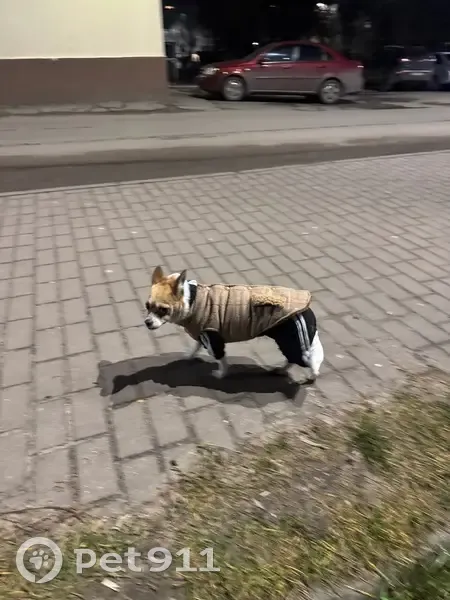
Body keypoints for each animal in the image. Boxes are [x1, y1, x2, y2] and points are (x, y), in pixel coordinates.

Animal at [145, 266, 324, 381]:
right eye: (147, 306)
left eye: (163, 310)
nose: (147, 322)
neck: (192, 300)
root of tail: (307, 310)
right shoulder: (202, 334)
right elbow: (195, 346)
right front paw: (190, 355)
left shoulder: (213, 339)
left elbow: (222, 360)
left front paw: (221, 374)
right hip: (290, 343)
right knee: (293, 359)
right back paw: (281, 370)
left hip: (291, 342)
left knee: (307, 360)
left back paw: (311, 375)